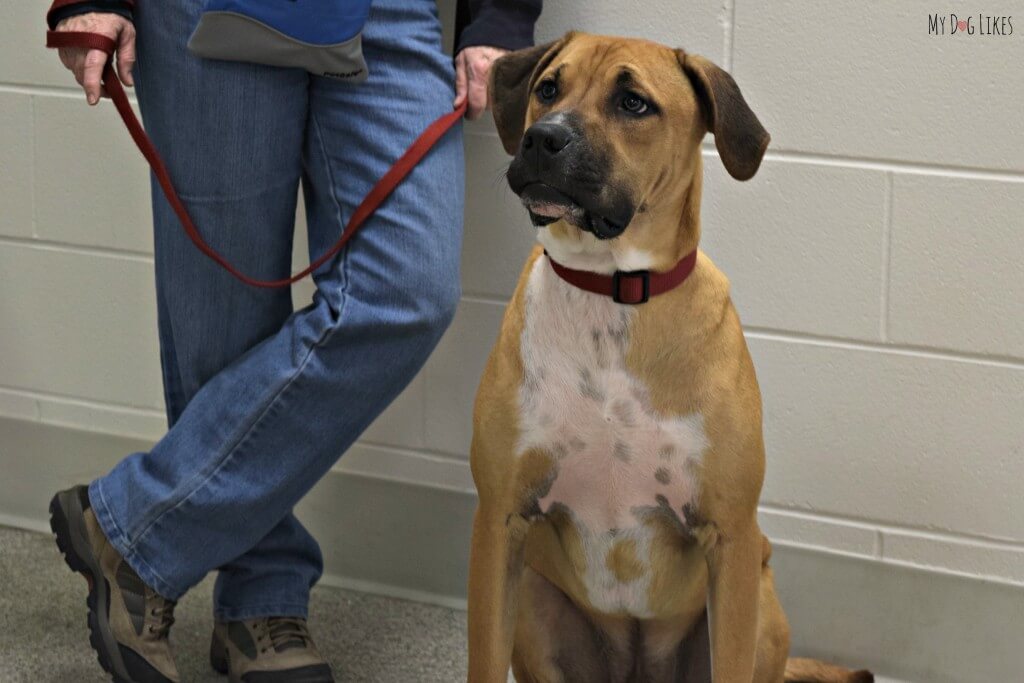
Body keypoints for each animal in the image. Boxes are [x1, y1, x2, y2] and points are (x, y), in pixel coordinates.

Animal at [464, 33, 872, 683]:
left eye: (633, 102)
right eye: (548, 87)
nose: (543, 137)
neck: (611, 292)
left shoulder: (730, 539)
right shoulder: (499, 522)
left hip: (761, 602)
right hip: (532, 594)